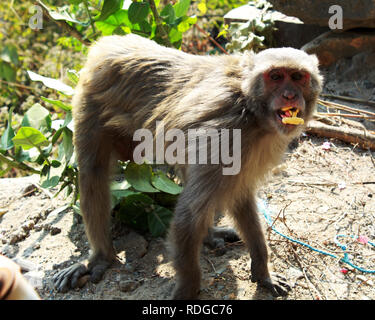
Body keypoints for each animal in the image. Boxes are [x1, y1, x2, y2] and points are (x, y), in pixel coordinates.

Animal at [52, 33, 324, 298]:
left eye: (298, 77)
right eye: (276, 77)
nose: (289, 95)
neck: (251, 109)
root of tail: (109, 43)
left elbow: (240, 197)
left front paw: (262, 272)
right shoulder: (226, 134)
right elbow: (188, 217)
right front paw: (188, 288)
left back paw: (209, 235)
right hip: (89, 98)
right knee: (93, 172)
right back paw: (100, 258)